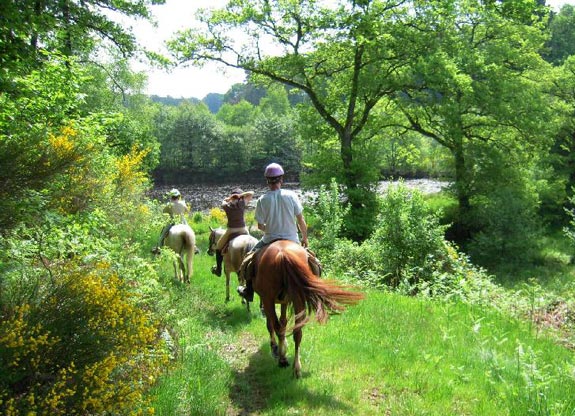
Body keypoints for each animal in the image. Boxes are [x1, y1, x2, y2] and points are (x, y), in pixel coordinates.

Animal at [254, 239, 362, 378]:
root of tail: (283, 254)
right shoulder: (284, 301)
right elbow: (283, 322)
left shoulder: (267, 300)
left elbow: (272, 324)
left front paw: (275, 348)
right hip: (297, 298)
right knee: (297, 332)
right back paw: (296, 368)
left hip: (269, 298)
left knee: (278, 327)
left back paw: (282, 359)